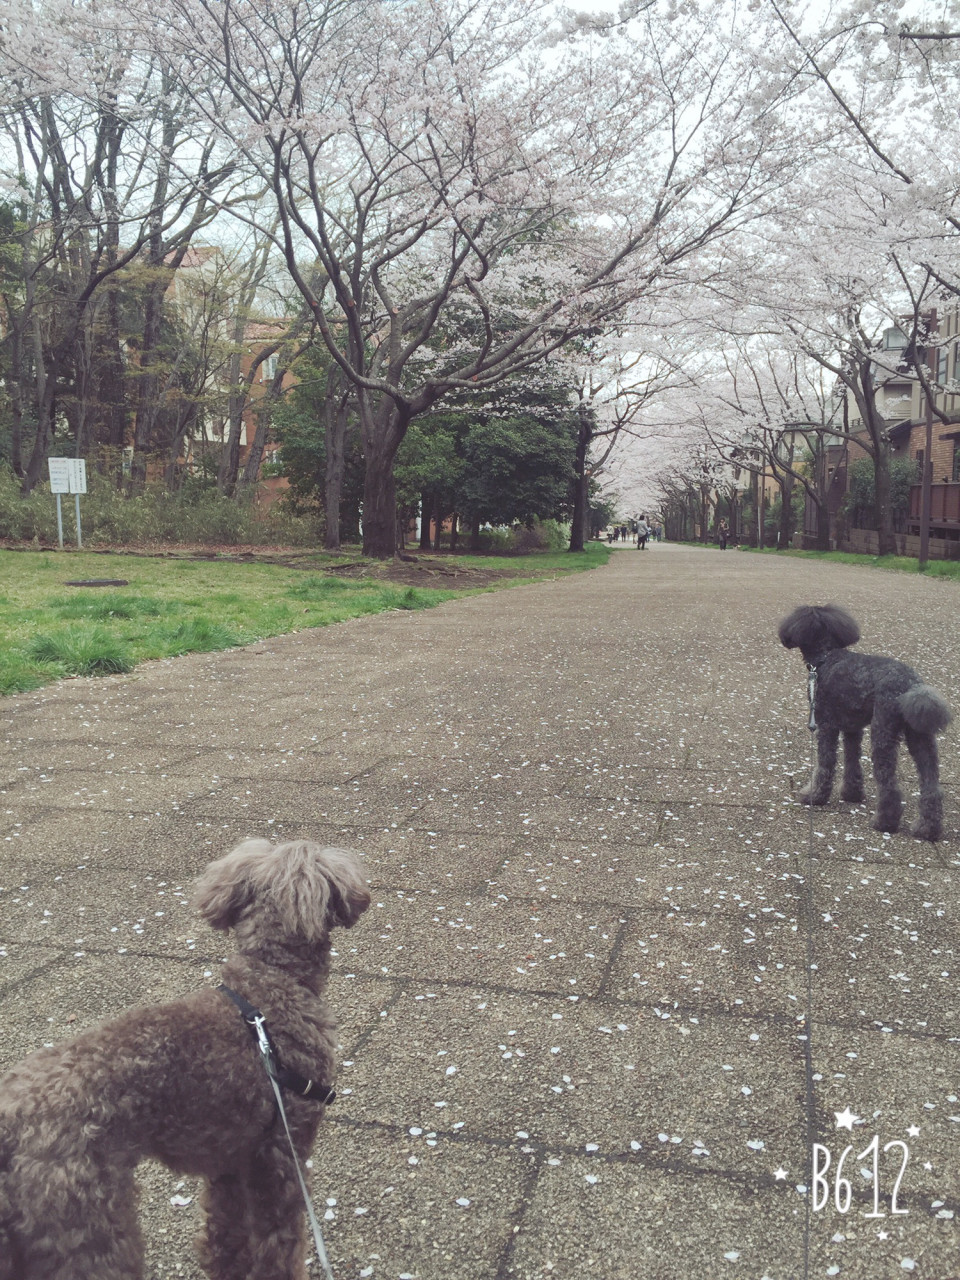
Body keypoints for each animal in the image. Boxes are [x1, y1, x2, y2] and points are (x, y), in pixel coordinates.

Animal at [0, 839, 370, 1280]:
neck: (271, 979)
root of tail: (10, 1121)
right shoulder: (281, 1153)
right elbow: (279, 1245)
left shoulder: (233, 1158)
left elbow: (224, 1238)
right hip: (85, 1224)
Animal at [779, 604, 952, 841]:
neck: (827, 655)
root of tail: (911, 686)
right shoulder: (852, 728)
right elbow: (852, 762)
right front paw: (851, 794)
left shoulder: (826, 725)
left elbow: (825, 764)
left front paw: (814, 795)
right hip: (920, 736)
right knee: (931, 785)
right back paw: (927, 829)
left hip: (882, 732)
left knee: (889, 785)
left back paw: (884, 823)